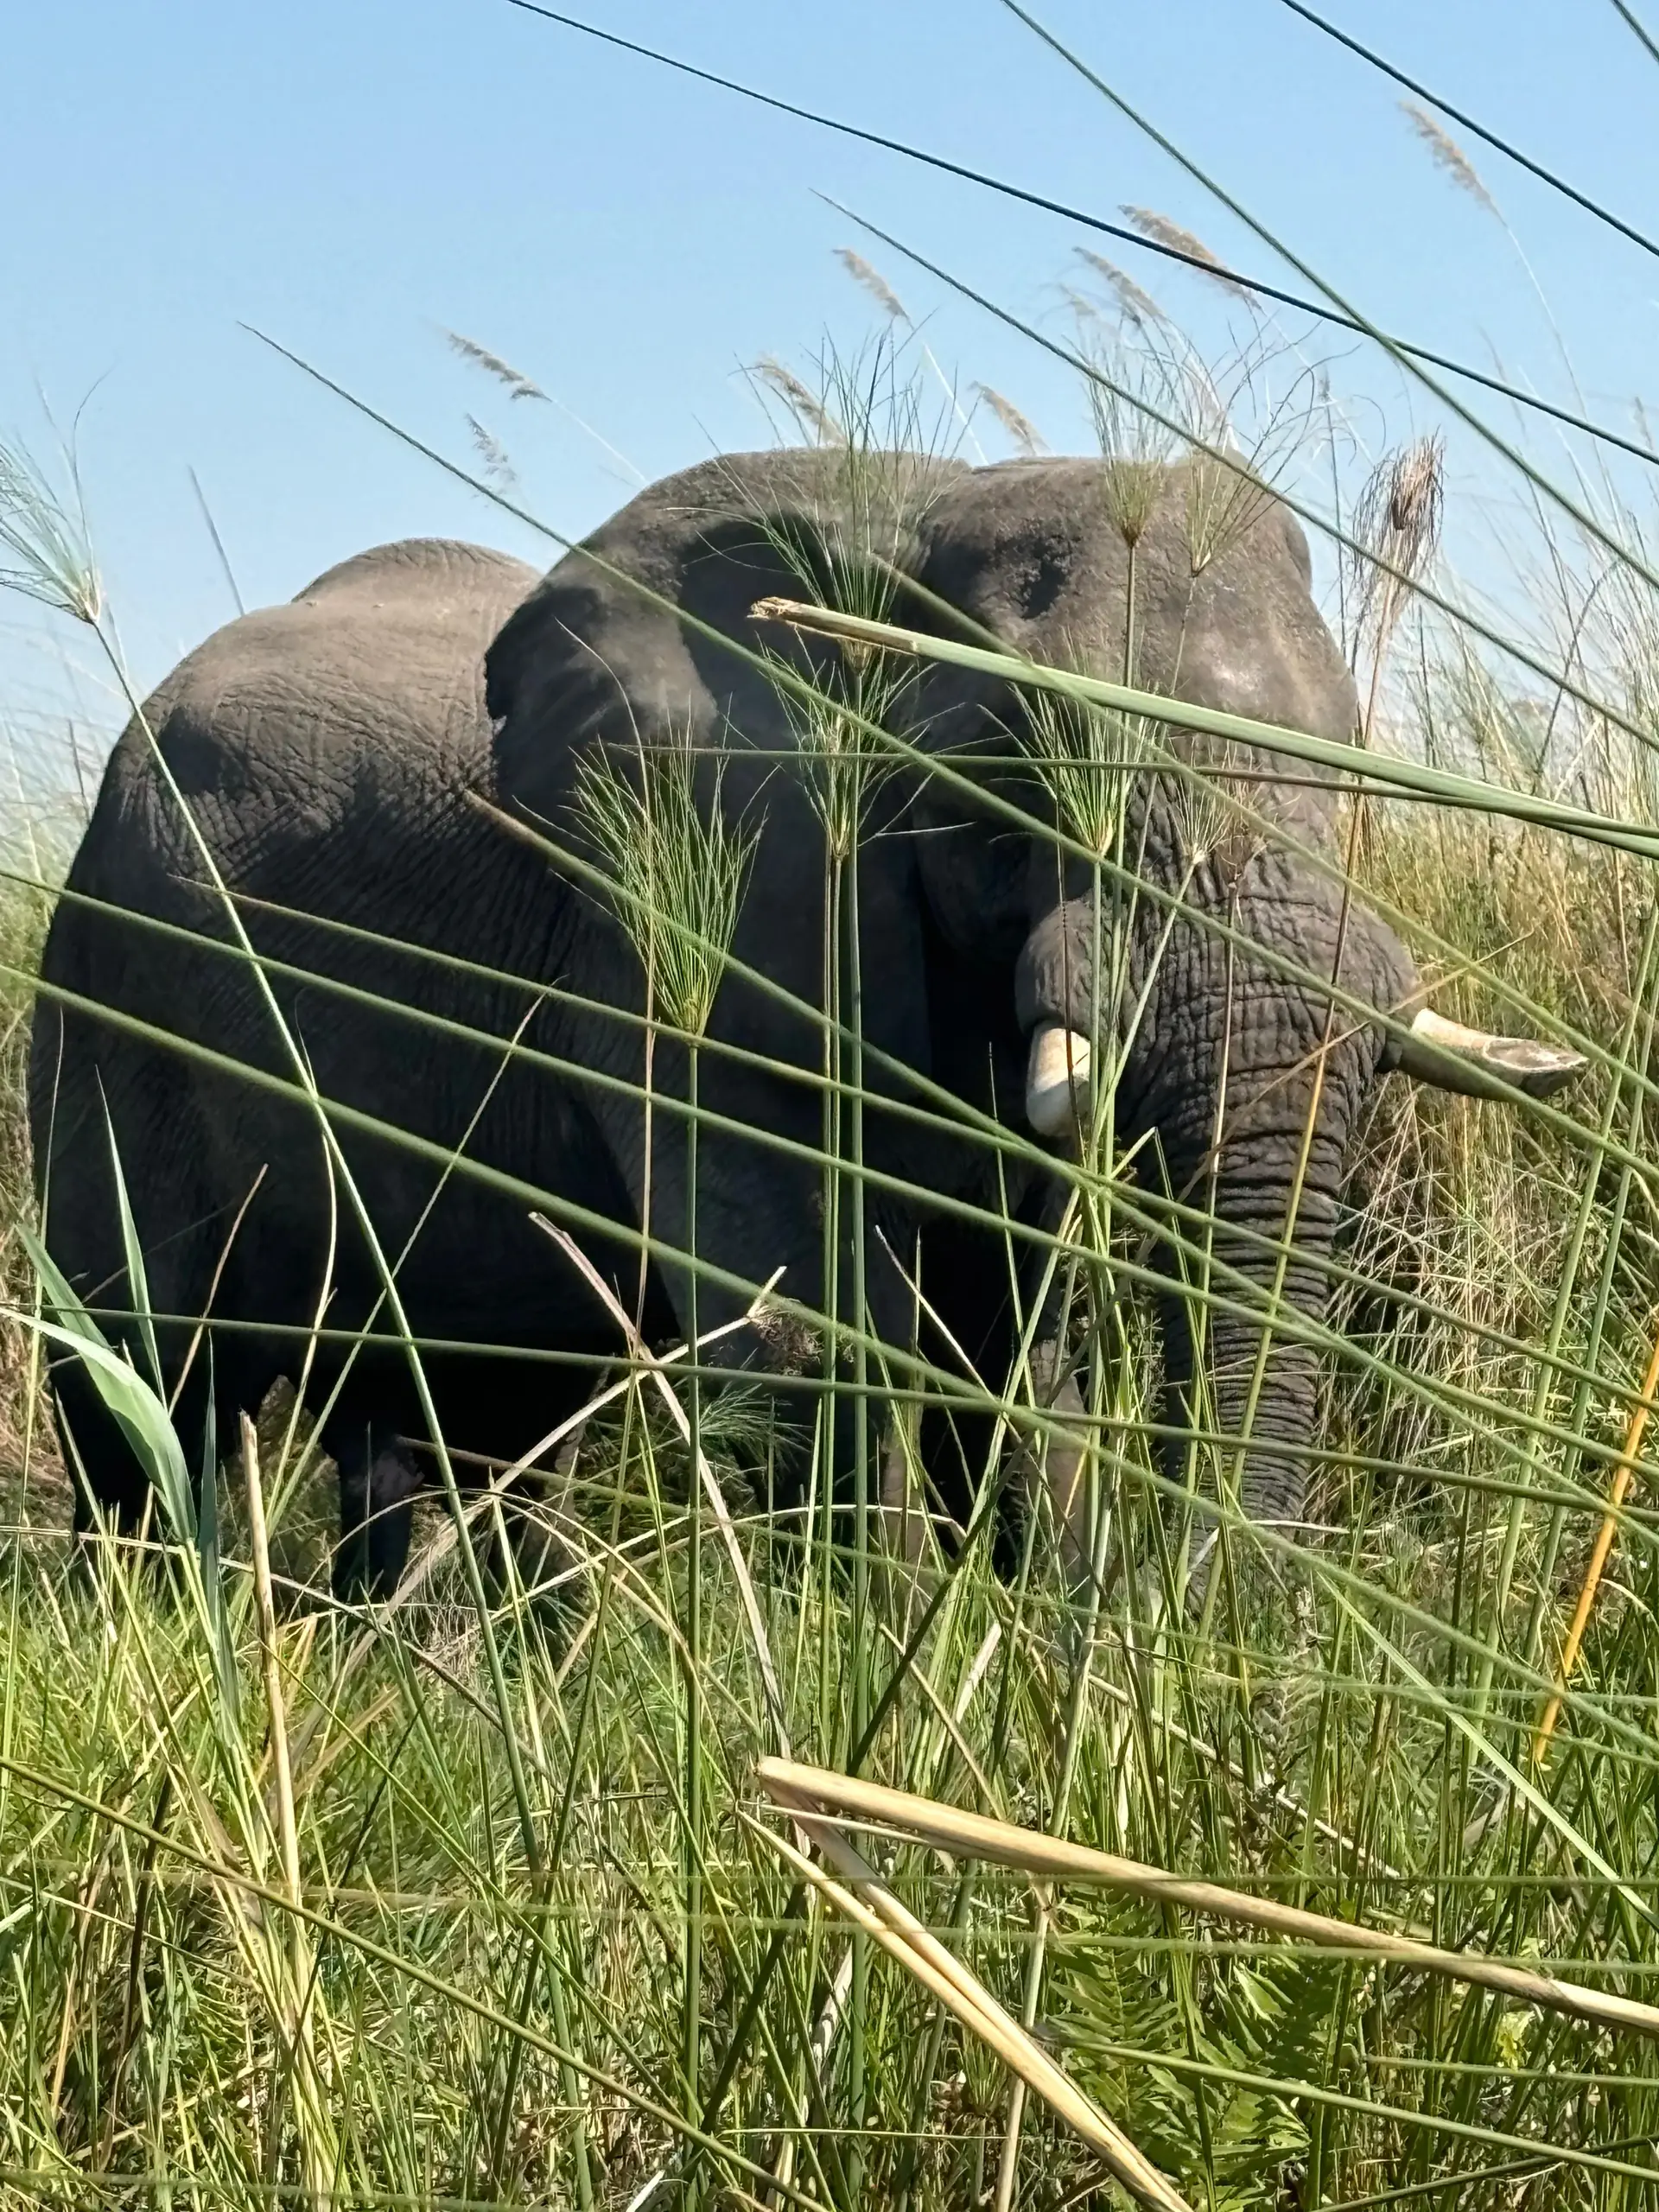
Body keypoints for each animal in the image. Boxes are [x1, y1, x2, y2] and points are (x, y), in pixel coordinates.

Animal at [29, 448, 1583, 1592]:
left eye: (1355, 760)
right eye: (1016, 778)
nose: (1226, 1633)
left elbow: (1014, 1332)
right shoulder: (670, 916)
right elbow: (811, 1324)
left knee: (473, 1416)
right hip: (104, 985)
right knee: (140, 1384)